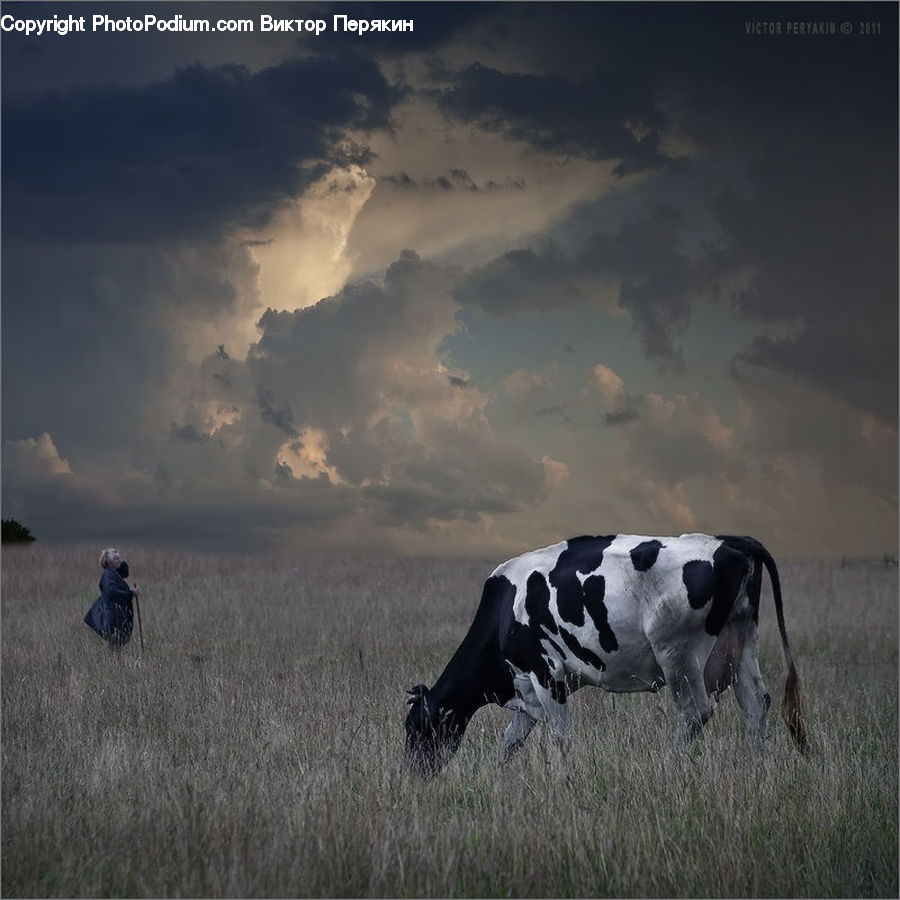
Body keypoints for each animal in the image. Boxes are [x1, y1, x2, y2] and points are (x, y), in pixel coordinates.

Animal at [405, 533, 807, 778]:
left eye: (416, 727)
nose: (413, 776)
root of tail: (729, 542)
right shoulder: (528, 688)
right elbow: (511, 740)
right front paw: (502, 778)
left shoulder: (547, 675)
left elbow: (561, 737)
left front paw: (564, 781)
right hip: (742, 642)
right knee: (756, 703)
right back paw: (755, 770)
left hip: (678, 653)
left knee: (695, 711)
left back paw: (669, 768)